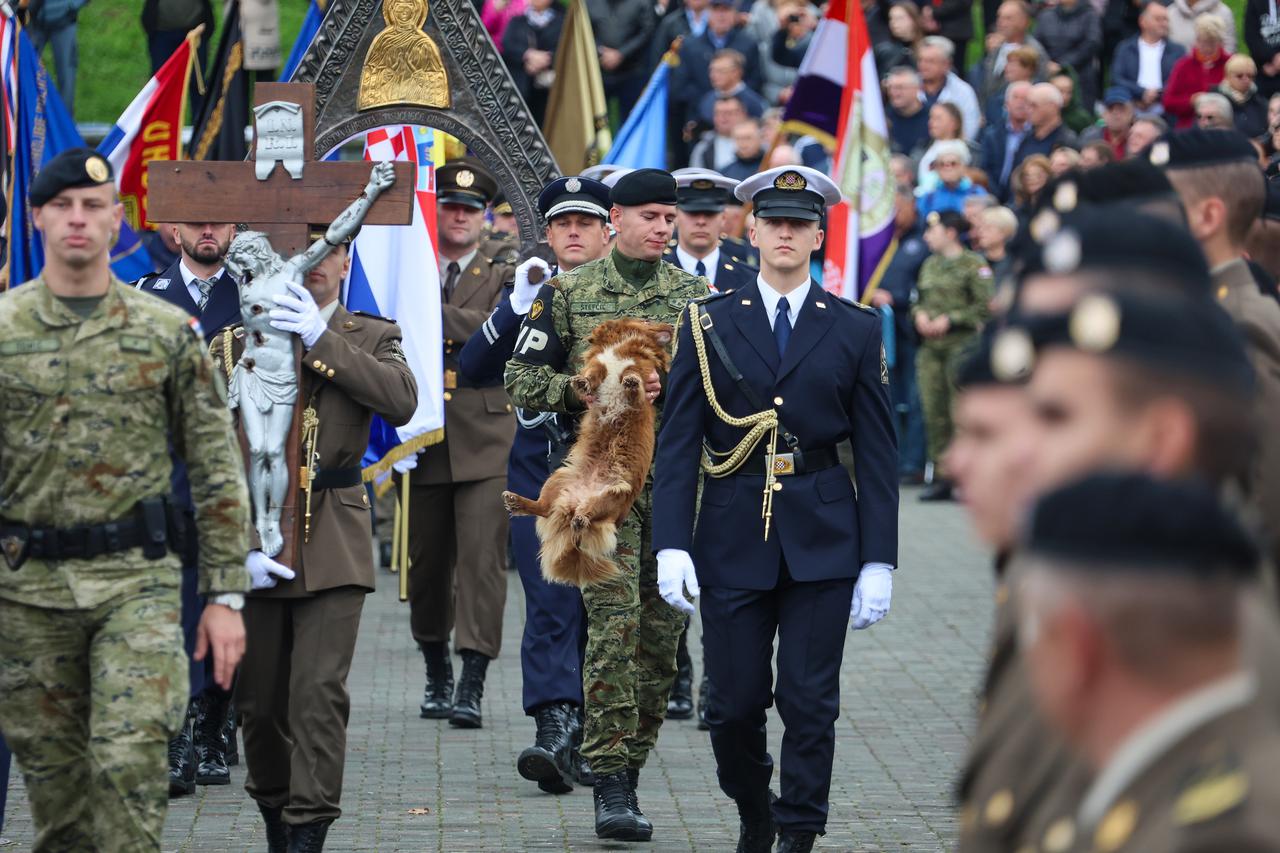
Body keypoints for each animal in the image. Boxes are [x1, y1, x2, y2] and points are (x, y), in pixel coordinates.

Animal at [504, 317, 675, 584]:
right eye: (647, 320)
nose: (673, 326)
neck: (621, 347)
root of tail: (576, 501)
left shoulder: (642, 371)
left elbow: (634, 380)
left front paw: (631, 383)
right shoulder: (599, 363)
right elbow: (593, 373)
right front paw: (582, 383)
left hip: (613, 496)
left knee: (587, 514)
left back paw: (581, 518)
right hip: (556, 479)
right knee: (543, 508)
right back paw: (518, 502)